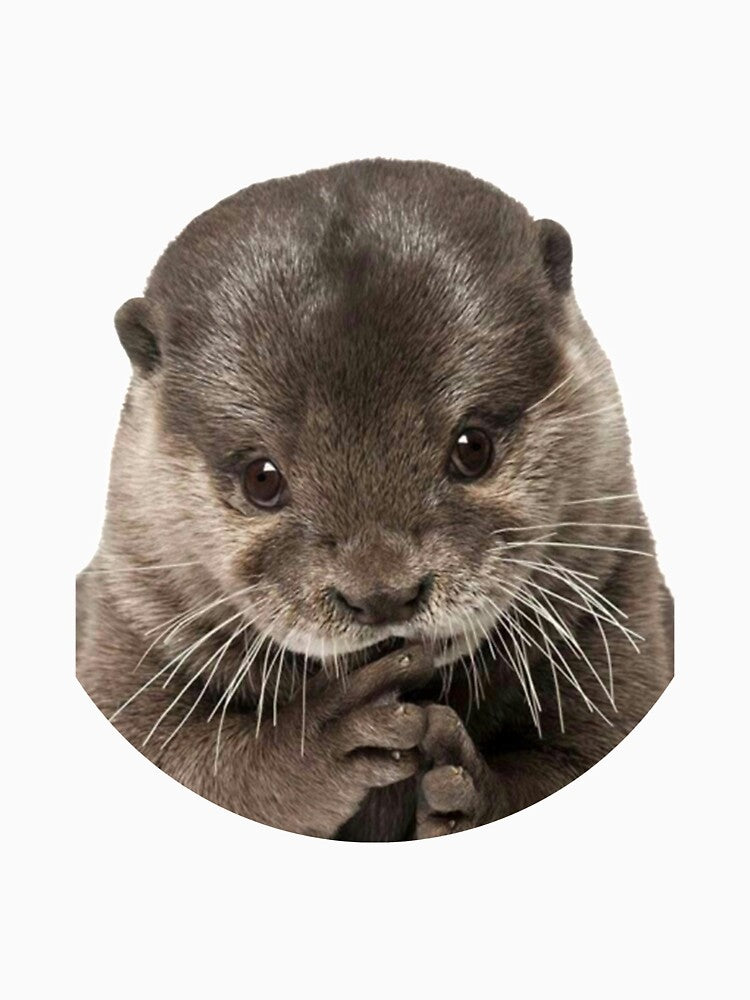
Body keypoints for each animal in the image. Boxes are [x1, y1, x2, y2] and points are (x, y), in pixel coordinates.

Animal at [76, 159, 673, 841]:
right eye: (262, 478)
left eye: (472, 446)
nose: (384, 593)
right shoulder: (126, 628)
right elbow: (196, 762)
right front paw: (324, 736)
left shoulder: (622, 612)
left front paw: (465, 791)